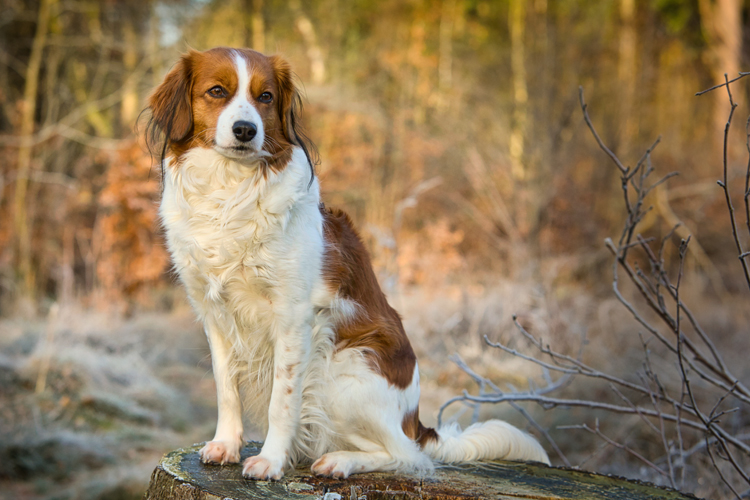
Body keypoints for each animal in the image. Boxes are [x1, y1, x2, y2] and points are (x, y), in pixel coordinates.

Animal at [145, 47, 552, 480]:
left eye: (265, 97)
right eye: (217, 91)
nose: (245, 130)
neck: (230, 192)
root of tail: (415, 421)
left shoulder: (293, 318)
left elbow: (282, 402)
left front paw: (271, 461)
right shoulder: (216, 315)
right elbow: (226, 388)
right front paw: (226, 444)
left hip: (345, 370)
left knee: (407, 455)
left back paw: (340, 460)